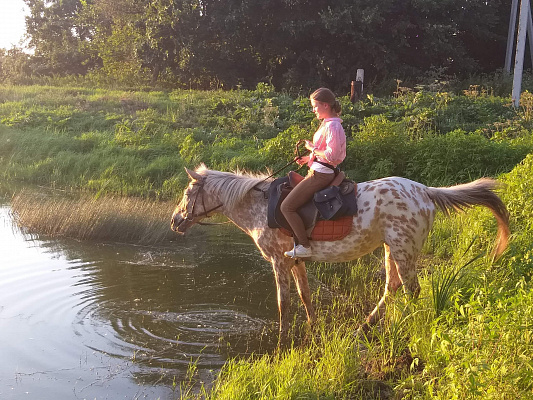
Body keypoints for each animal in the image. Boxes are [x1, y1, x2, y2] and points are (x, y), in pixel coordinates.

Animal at [170, 164, 508, 342]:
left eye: (187, 193)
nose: (174, 221)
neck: (258, 208)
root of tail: (424, 190)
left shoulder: (279, 261)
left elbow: (283, 302)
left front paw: (281, 338)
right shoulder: (296, 261)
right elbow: (305, 296)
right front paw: (312, 328)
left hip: (403, 251)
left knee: (411, 290)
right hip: (392, 250)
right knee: (392, 287)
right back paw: (363, 327)